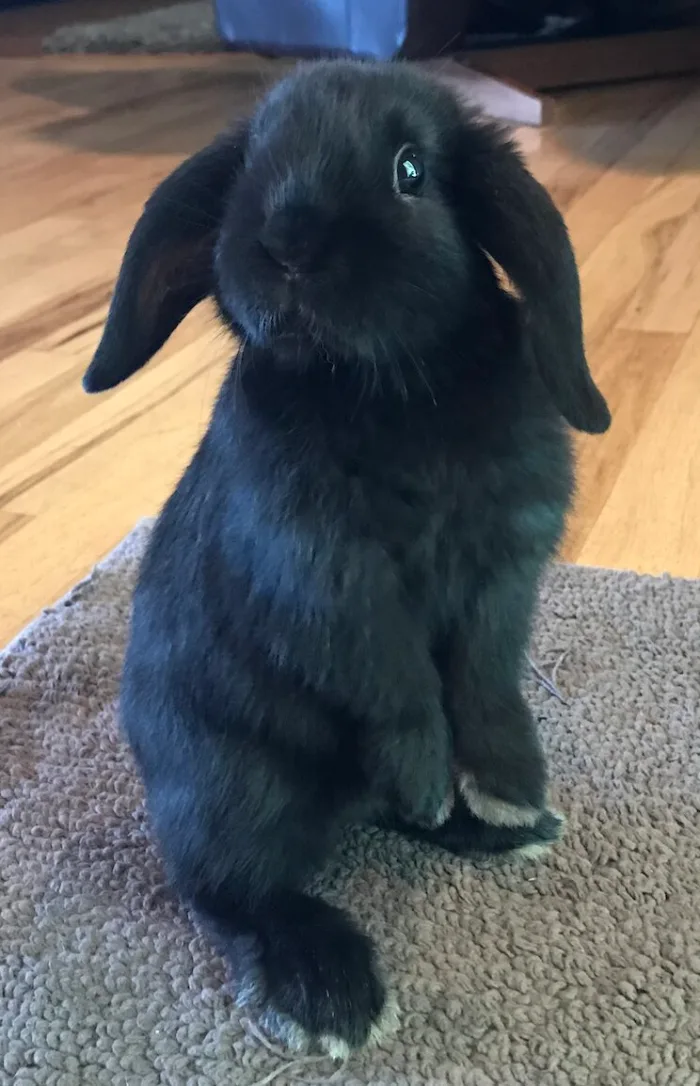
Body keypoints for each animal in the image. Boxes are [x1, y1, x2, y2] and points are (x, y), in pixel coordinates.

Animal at [82, 58, 610, 1057]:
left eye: (412, 170)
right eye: (251, 162)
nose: (288, 245)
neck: (384, 387)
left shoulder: (504, 567)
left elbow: (484, 678)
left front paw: (507, 787)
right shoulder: (322, 577)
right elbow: (394, 679)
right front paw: (428, 777)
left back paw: (494, 830)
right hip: (236, 785)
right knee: (231, 889)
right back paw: (329, 991)